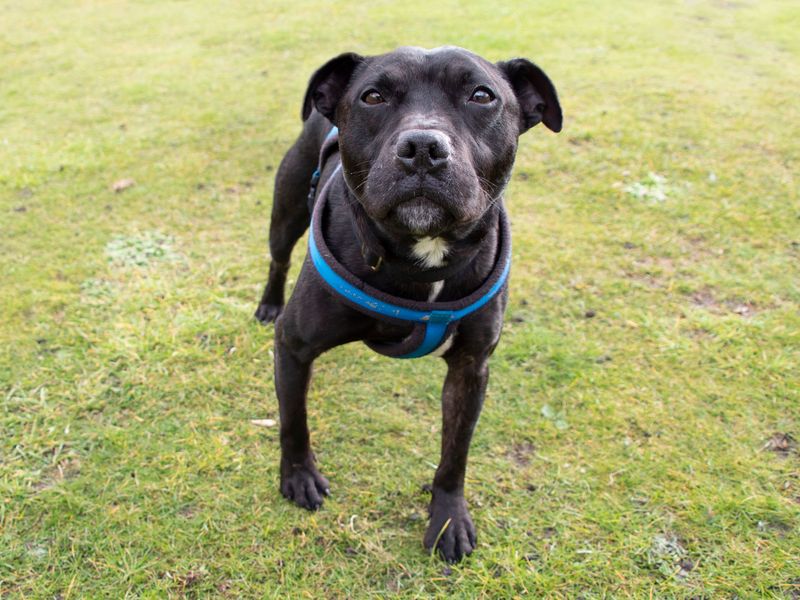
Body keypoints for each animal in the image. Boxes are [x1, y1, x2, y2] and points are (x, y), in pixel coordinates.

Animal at [256, 47, 564, 564]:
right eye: (372, 96)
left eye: (482, 95)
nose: (422, 146)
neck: (423, 256)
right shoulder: (294, 347)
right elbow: (294, 421)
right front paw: (298, 477)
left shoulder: (471, 368)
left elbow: (455, 454)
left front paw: (448, 518)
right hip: (286, 214)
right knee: (278, 258)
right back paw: (267, 304)